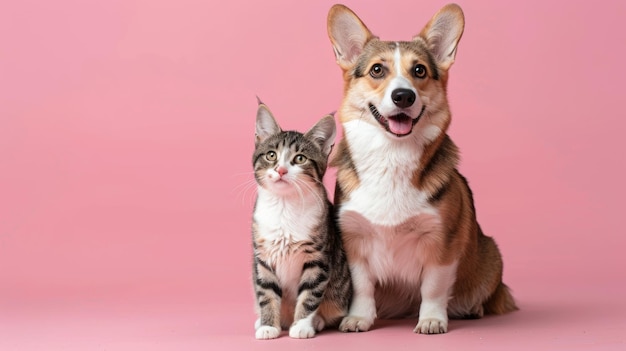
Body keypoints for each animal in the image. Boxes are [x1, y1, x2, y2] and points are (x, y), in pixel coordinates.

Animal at [251, 102, 354, 340]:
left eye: (300, 158)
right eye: (271, 155)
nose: (281, 170)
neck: (284, 207)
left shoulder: (318, 257)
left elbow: (310, 293)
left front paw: (302, 325)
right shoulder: (263, 257)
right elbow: (266, 293)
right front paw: (268, 325)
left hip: (340, 290)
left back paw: (316, 321)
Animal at [324, 2, 516, 334]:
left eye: (419, 71)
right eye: (377, 69)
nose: (403, 96)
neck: (391, 155)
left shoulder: (441, 244)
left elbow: (433, 287)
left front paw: (431, 320)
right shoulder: (355, 242)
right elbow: (362, 286)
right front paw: (359, 318)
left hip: (491, 256)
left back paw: (473, 309)